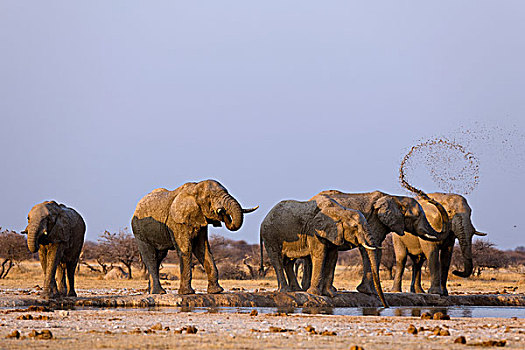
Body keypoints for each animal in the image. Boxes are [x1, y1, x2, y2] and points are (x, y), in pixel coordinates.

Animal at [302, 191, 450, 296]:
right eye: (417, 216)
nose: (429, 198)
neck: (395, 198)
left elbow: (376, 250)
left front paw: (370, 291)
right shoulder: (373, 221)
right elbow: (371, 249)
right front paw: (368, 292)